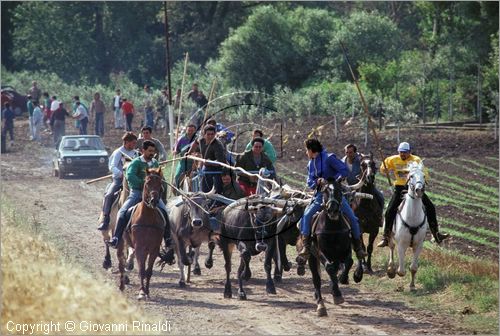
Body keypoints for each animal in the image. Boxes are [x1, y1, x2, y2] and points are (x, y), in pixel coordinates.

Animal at [119, 168, 170, 300]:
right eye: (147, 183)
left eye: (160, 184)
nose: (154, 201)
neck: (148, 219)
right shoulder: (140, 248)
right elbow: (142, 270)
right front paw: (142, 292)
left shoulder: (153, 249)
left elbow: (148, 271)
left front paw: (147, 291)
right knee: (123, 261)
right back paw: (124, 280)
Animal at [384, 161, 428, 292]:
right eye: (411, 176)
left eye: (424, 176)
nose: (419, 190)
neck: (412, 218)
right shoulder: (401, 244)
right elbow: (401, 271)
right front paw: (392, 272)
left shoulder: (418, 245)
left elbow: (413, 268)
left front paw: (412, 286)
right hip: (390, 234)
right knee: (391, 246)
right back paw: (390, 268)